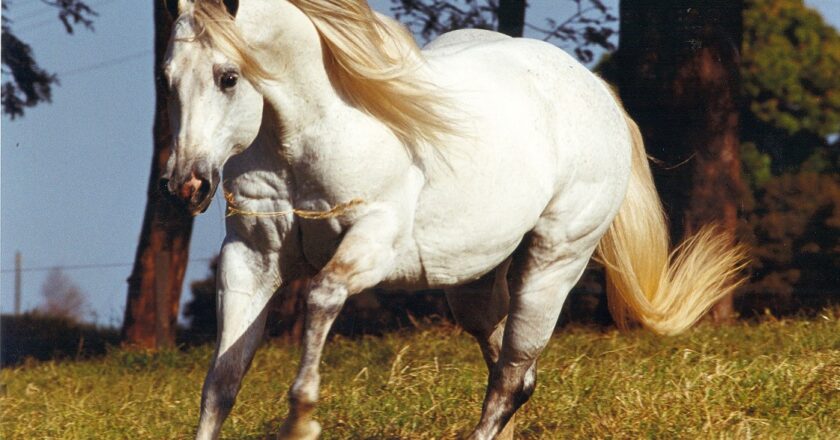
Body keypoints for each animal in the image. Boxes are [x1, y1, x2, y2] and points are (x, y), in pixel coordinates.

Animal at [161, 0, 744, 440]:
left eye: (228, 77)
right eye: (168, 80)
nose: (187, 185)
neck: (309, 134)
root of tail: (599, 92)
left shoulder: (373, 243)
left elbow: (322, 296)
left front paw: (301, 421)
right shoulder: (251, 261)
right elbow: (222, 380)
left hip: (554, 263)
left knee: (513, 377)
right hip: (474, 283)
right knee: (509, 365)